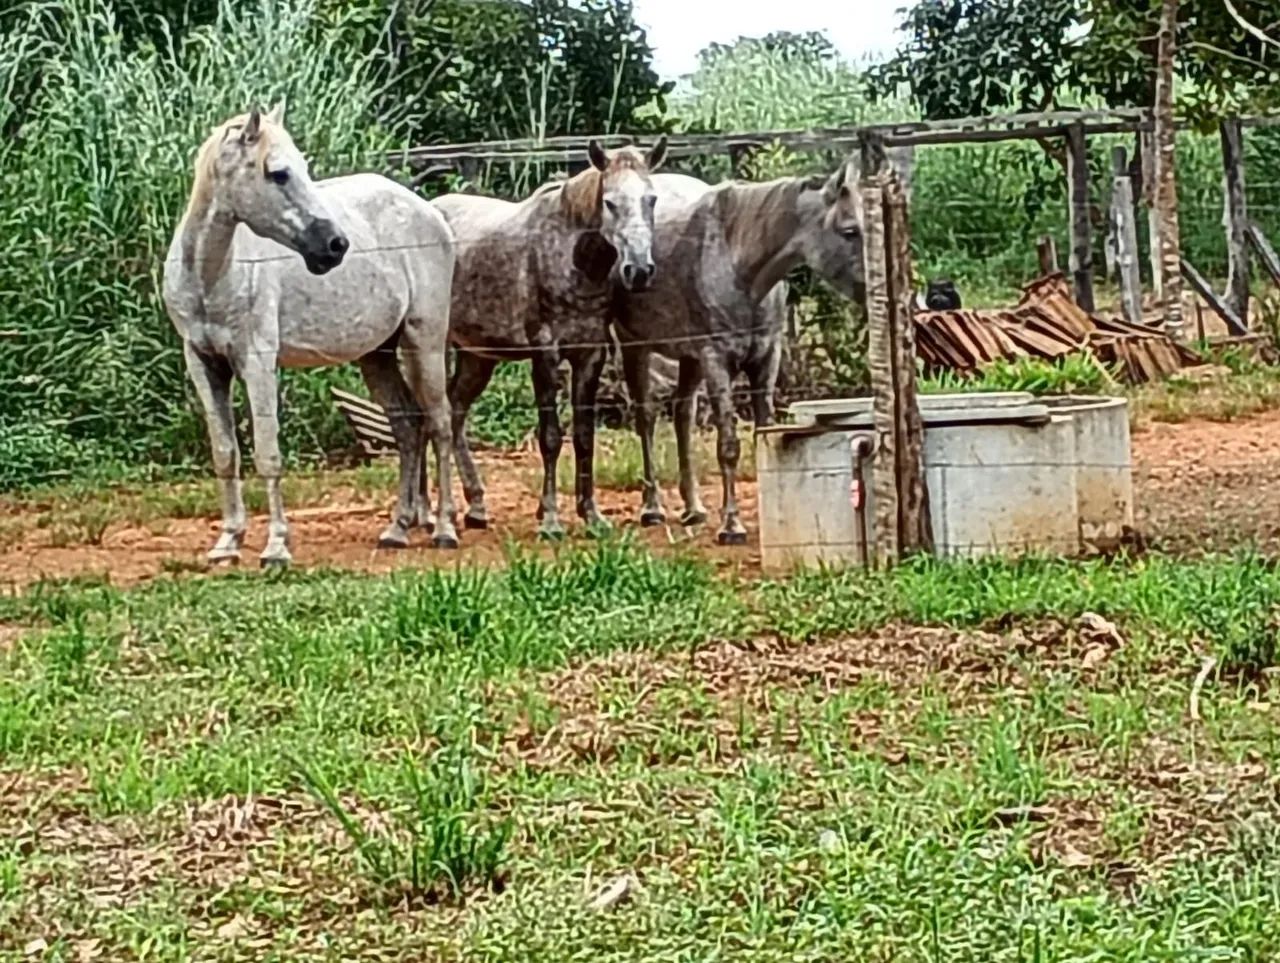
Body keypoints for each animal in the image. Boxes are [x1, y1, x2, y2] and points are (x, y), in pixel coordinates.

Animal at [162, 104, 458, 567]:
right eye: (279, 173)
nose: (335, 245)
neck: (210, 275)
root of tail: (429, 212)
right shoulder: (203, 363)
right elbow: (226, 453)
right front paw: (227, 542)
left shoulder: (257, 363)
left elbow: (267, 453)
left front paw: (276, 548)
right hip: (377, 354)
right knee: (408, 427)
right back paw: (397, 529)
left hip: (423, 341)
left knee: (441, 424)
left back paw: (444, 528)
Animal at [433, 137, 668, 539]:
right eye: (610, 202)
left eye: (650, 199)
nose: (638, 270)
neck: (571, 259)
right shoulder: (545, 354)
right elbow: (551, 438)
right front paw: (552, 520)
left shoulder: (590, 354)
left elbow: (584, 436)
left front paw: (591, 515)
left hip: (477, 356)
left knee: (455, 412)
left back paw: (476, 506)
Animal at [610, 158, 865, 545]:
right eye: (850, 231)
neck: (736, 262)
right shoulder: (717, 361)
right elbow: (728, 446)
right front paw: (732, 526)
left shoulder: (766, 359)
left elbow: (765, 435)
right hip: (636, 348)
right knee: (646, 419)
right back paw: (652, 508)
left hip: (689, 357)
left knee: (682, 415)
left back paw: (693, 507)